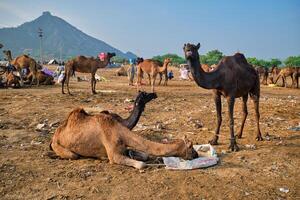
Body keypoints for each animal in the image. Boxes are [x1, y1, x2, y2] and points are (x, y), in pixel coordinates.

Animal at [50, 108, 198, 169]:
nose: (196, 155)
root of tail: (56, 134)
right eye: (191, 147)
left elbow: (143, 155)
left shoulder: (122, 147)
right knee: (72, 155)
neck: (120, 132)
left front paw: (133, 153)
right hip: (59, 145)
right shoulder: (114, 154)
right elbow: (141, 164)